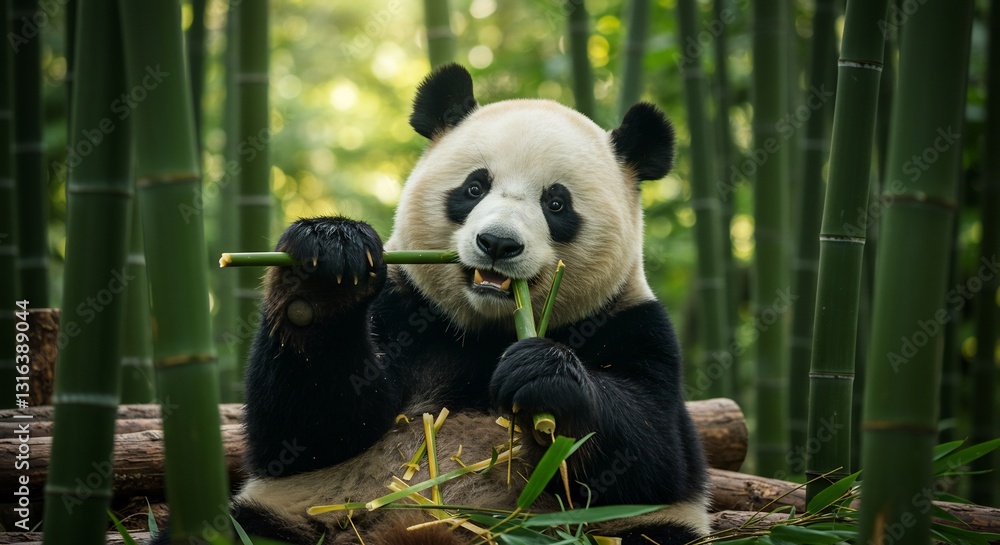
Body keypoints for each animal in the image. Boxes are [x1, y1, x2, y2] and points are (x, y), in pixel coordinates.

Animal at [153, 64, 709, 545]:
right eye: (474, 186)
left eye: (556, 203)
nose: (498, 243)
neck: (485, 331)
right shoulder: (404, 309)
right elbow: (309, 431)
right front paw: (326, 269)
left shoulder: (633, 324)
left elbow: (656, 456)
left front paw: (542, 375)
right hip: (291, 516)